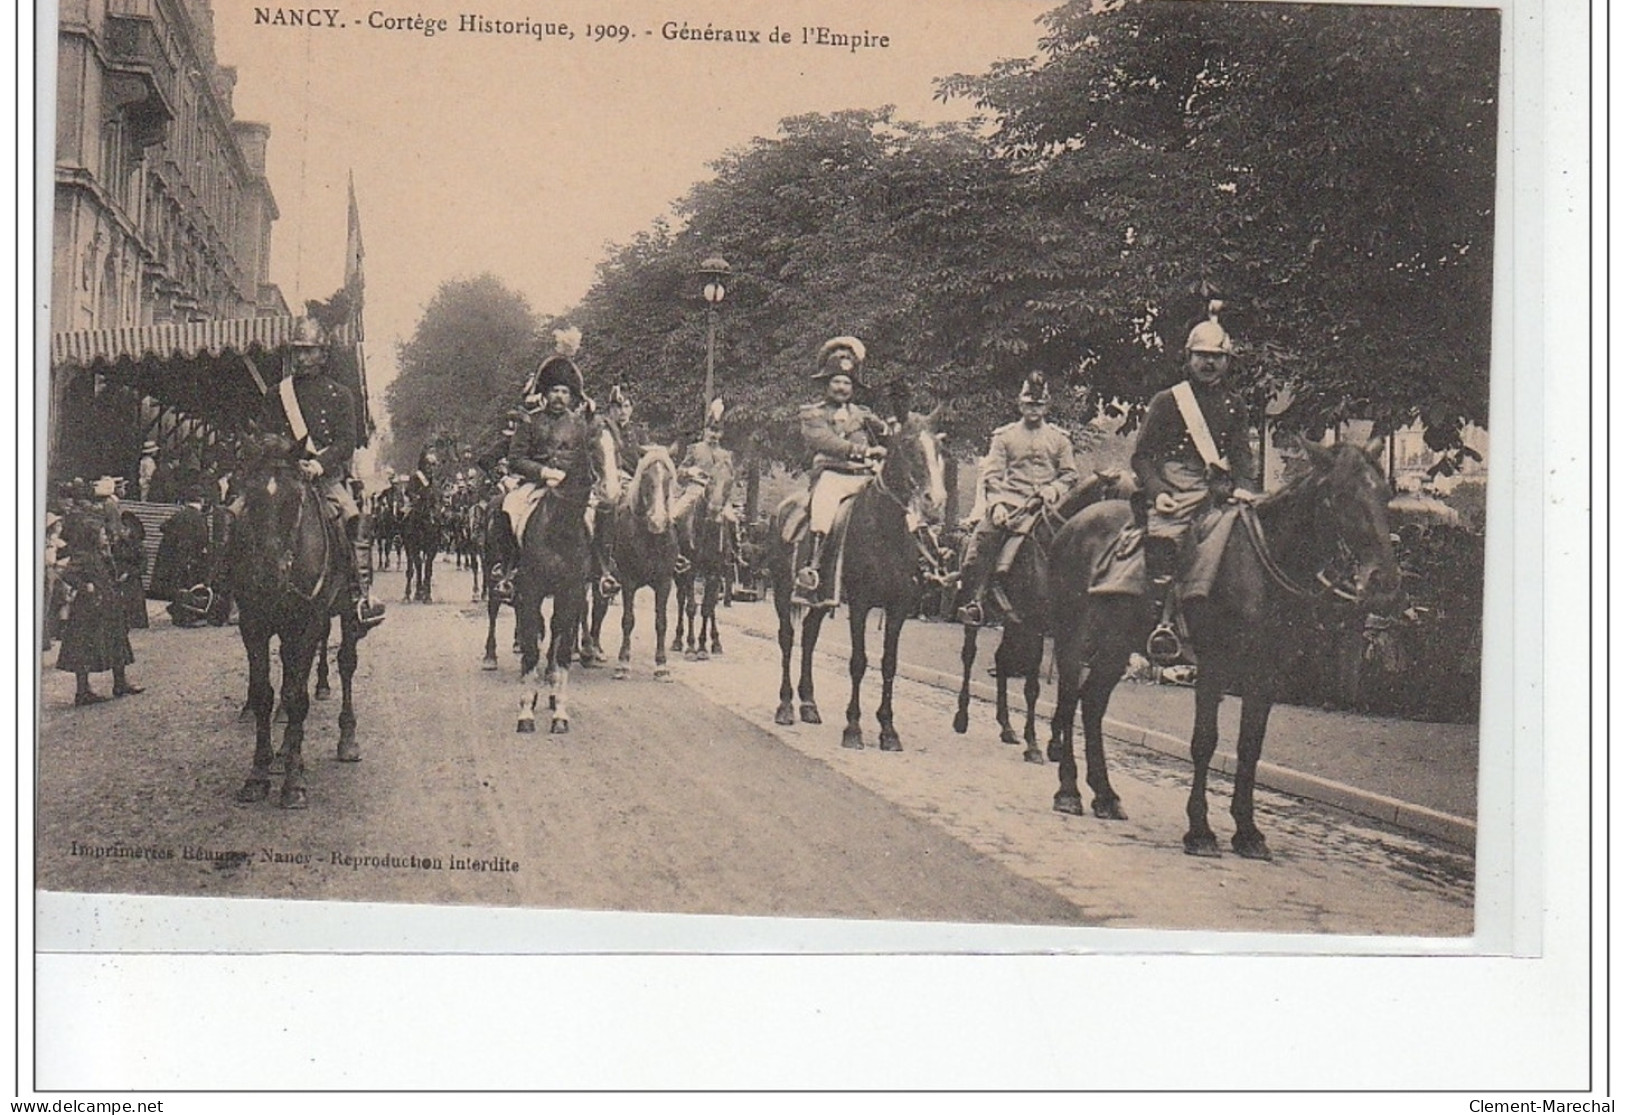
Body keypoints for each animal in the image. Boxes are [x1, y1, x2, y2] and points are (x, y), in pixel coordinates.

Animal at [229, 432, 362, 809]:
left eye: (295, 501)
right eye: (250, 498)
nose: (269, 576)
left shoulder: (309, 622)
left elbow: (298, 698)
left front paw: (293, 781)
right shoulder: (254, 625)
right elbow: (264, 694)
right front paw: (258, 774)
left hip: (344, 613)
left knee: (346, 663)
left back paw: (347, 739)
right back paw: (284, 749)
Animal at [767, 407, 949, 750]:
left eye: (939, 448)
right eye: (907, 444)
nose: (935, 503)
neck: (885, 530)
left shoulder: (898, 607)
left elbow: (889, 664)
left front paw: (888, 730)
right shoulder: (861, 604)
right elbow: (859, 661)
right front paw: (853, 727)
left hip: (823, 598)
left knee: (809, 636)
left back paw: (809, 704)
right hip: (782, 592)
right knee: (787, 638)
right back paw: (785, 706)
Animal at [949, 468, 1131, 763]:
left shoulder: (1066, 632)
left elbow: (1066, 690)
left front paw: (1055, 743)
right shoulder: (1035, 626)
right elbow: (1033, 688)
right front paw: (1034, 744)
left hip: (1013, 624)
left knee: (1001, 660)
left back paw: (1006, 727)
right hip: (977, 610)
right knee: (969, 656)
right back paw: (962, 717)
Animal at [1046, 442, 1404, 858]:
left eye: (1385, 495)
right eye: (1343, 495)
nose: (1385, 582)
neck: (1261, 568)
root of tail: (1072, 525)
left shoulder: (1264, 675)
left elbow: (1250, 747)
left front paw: (1247, 832)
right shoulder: (1214, 667)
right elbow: (1205, 742)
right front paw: (1200, 830)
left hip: (1114, 648)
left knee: (1091, 706)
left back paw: (1105, 796)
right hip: (1072, 640)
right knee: (1068, 703)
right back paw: (1068, 791)